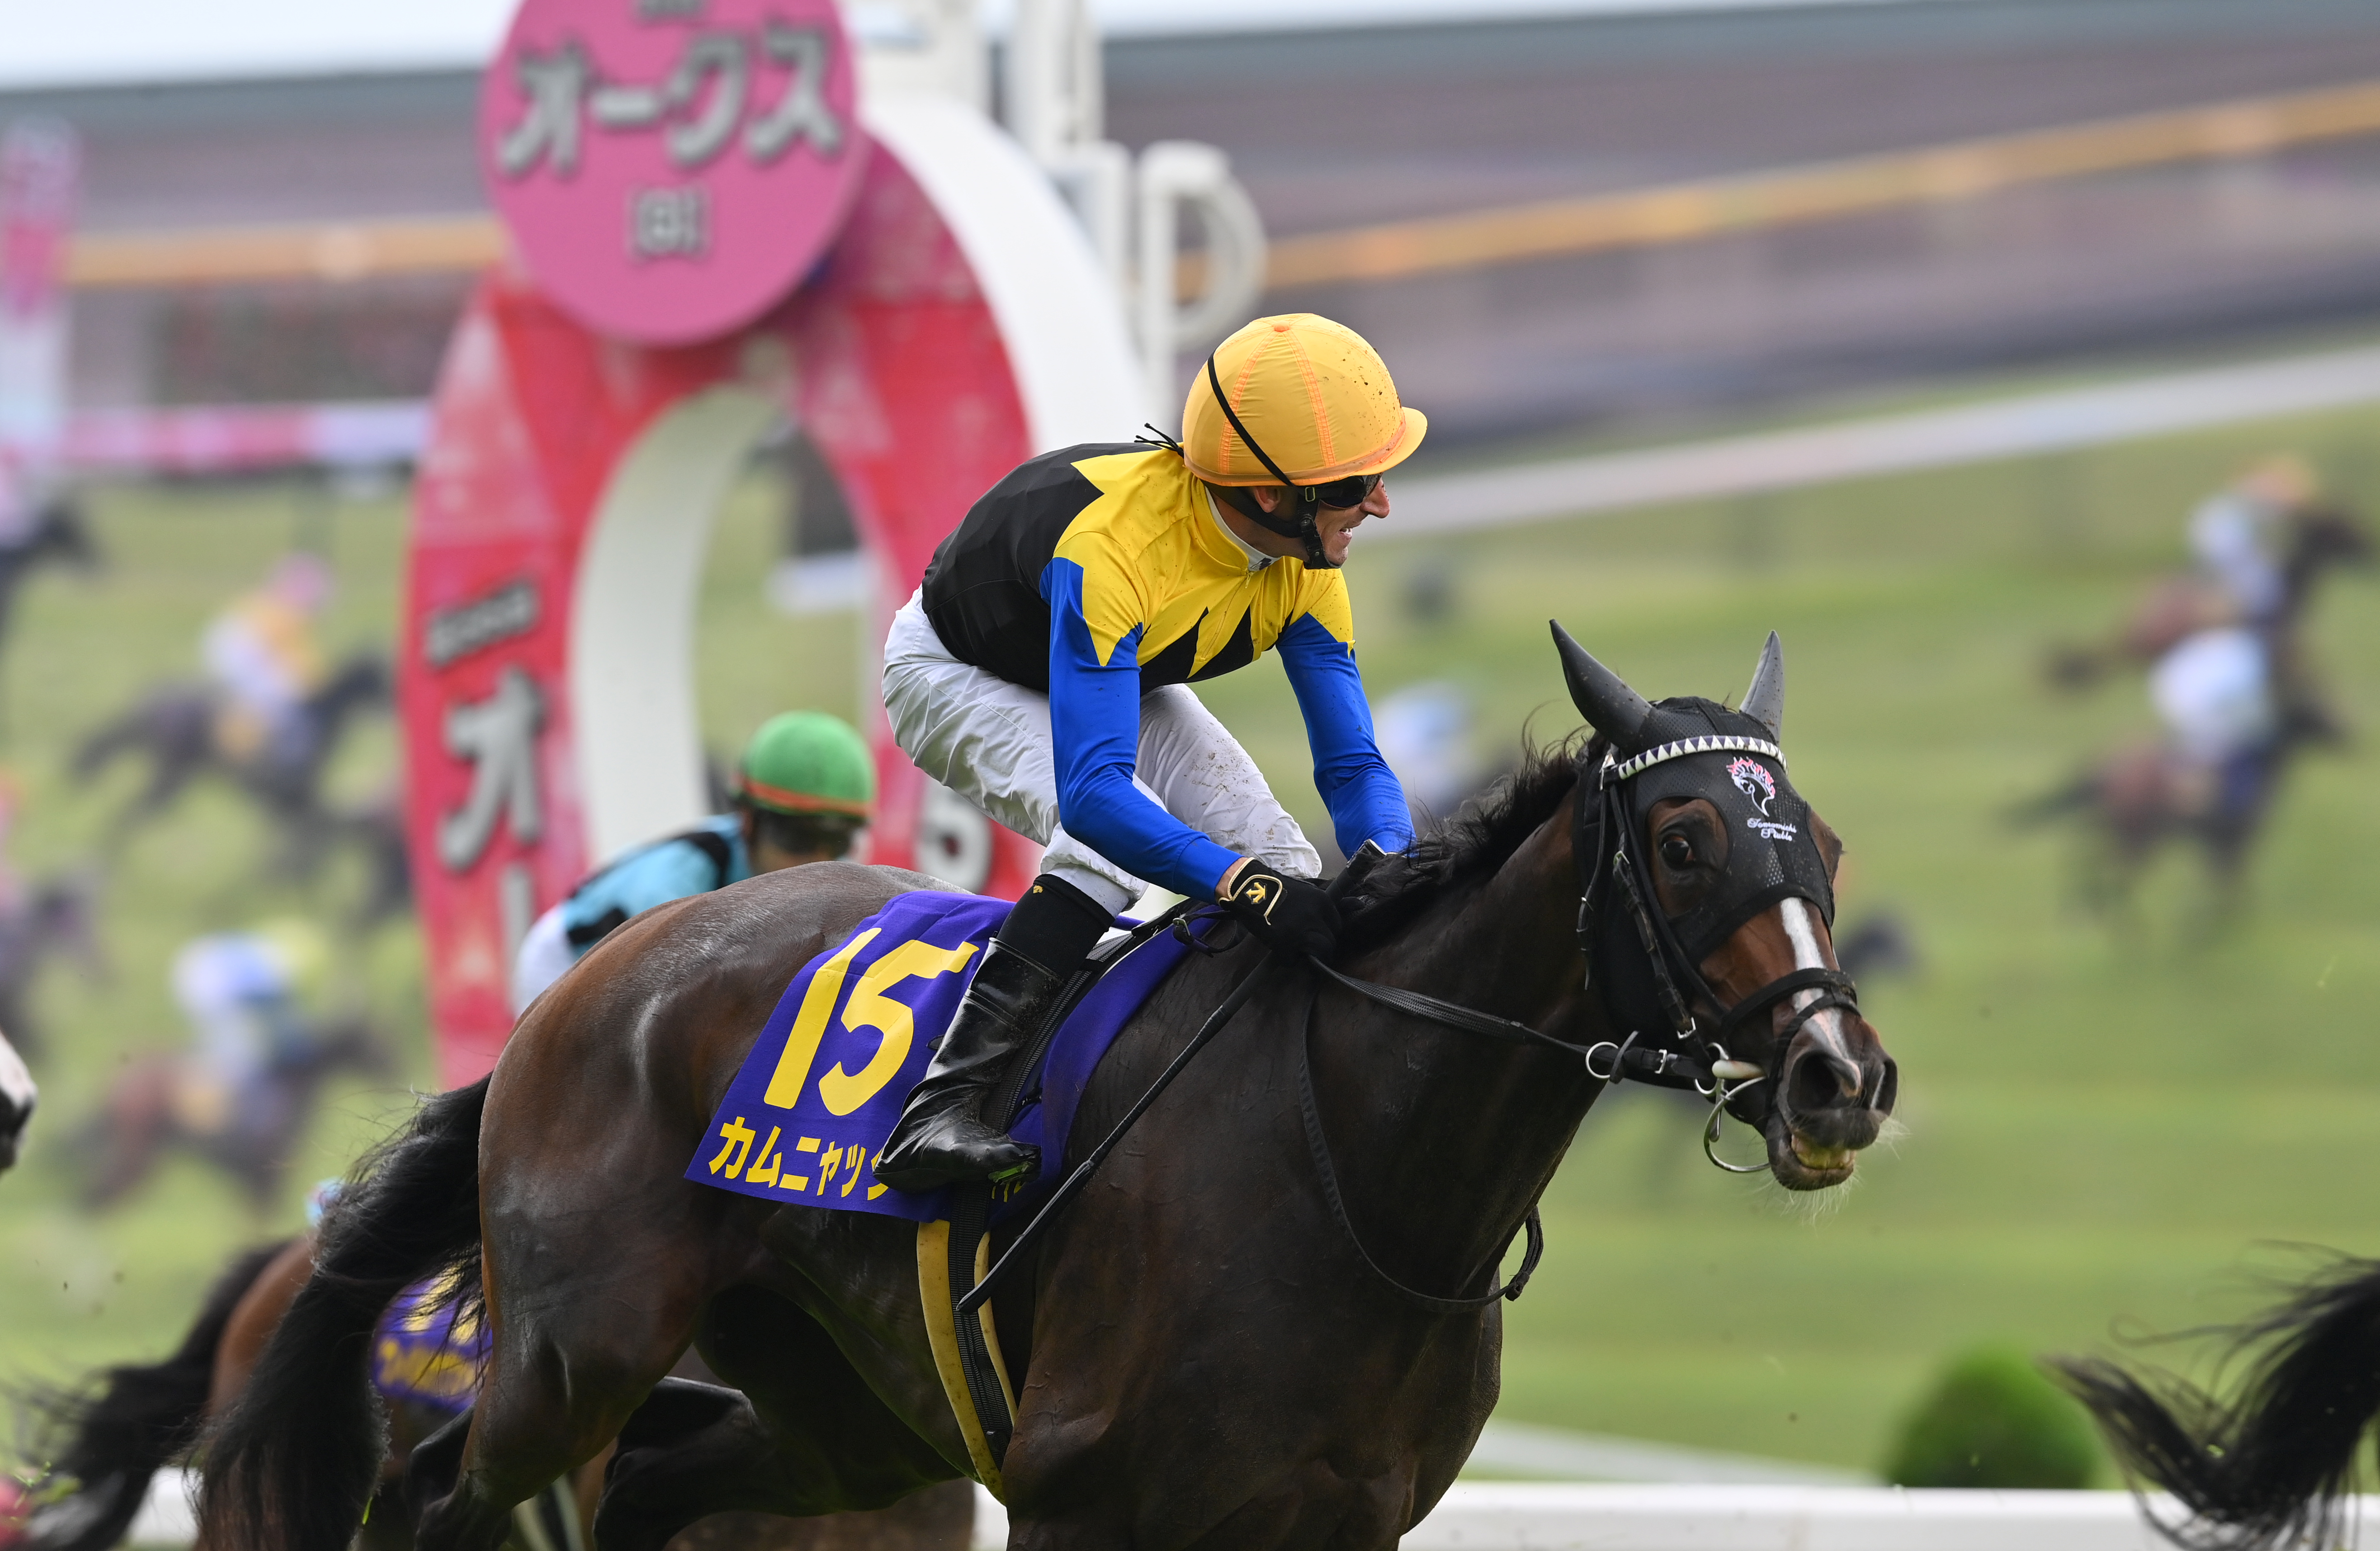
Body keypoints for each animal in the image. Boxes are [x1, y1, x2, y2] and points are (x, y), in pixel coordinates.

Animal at [71, 1013, 393, 1213]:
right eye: (369, 1039)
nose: (390, 1064)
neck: (287, 1081)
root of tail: (119, 1082)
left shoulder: (255, 1178)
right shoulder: (262, 1174)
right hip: (139, 1149)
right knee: (98, 1196)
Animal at [198, 626, 1896, 1551]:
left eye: (1817, 839)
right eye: (1681, 840)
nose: (1837, 1078)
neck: (1357, 1173)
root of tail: (575, 997)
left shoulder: (1345, 1515)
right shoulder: (1081, 1499)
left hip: (837, 1412)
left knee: (651, 1494)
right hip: (572, 1359)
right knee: (434, 1502)